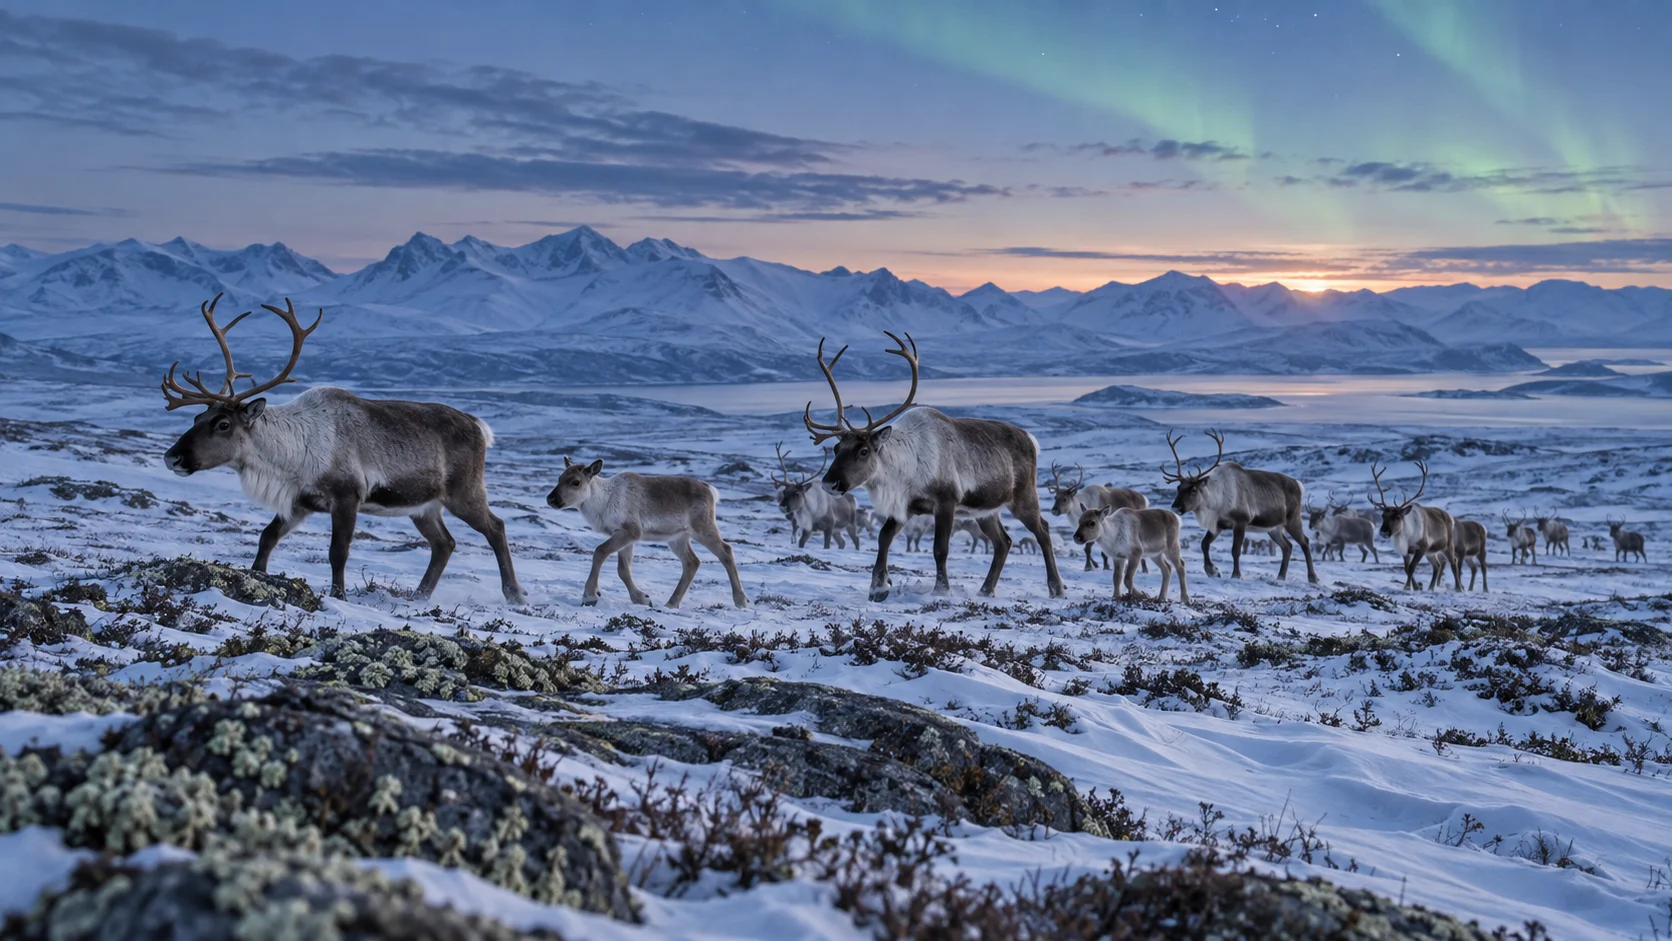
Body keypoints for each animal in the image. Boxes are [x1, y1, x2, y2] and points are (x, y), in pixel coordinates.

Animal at [160, 295, 526, 604]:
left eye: (223, 424)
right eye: (197, 416)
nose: (172, 456)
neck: (289, 453)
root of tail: (479, 426)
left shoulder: (347, 496)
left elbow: (338, 552)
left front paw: (340, 597)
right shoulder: (299, 502)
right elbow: (267, 537)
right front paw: (257, 575)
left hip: (464, 492)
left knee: (496, 528)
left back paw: (515, 596)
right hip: (423, 506)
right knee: (444, 543)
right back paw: (418, 596)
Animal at [546, 458, 748, 609]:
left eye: (576, 482)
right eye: (559, 478)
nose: (551, 498)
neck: (603, 501)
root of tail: (710, 489)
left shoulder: (631, 532)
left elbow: (600, 552)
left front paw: (590, 595)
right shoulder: (624, 536)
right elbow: (623, 570)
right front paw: (642, 599)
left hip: (702, 528)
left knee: (726, 552)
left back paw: (741, 600)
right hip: (678, 538)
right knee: (692, 562)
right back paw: (671, 604)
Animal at [805, 332, 1064, 601]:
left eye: (863, 451)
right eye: (836, 448)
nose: (829, 483)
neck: (904, 466)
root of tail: (1030, 439)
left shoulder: (946, 501)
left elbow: (940, 548)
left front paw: (941, 590)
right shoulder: (906, 506)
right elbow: (883, 537)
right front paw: (878, 587)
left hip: (1023, 497)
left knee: (1043, 532)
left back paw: (1056, 588)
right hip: (985, 510)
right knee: (1003, 541)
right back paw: (986, 590)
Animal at [1161, 430, 1318, 583]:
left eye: (1193, 490)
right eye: (1178, 487)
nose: (1175, 507)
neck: (1217, 500)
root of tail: (1299, 484)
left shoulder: (1241, 522)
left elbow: (1235, 550)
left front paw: (1236, 575)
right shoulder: (1218, 525)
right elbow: (1204, 544)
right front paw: (1212, 571)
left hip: (1292, 520)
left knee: (1304, 542)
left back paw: (1313, 578)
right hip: (1274, 528)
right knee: (1287, 546)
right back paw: (1281, 577)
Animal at [1370, 461, 1457, 591]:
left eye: (1398, 517)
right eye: (1382, 515)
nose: (1383, 532)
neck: (1406, 536)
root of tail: (1450, 518)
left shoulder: (1422, 547)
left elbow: (1411, 567)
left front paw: (1407, 587)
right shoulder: (1407, 551)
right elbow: (1406, 568)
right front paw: (1416, 587)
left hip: (1447, 545)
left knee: (1453, 562)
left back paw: (1459, 588)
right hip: (1431, 553)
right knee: (1437, 565)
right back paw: (1430, 588)